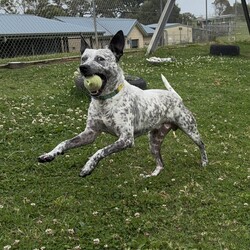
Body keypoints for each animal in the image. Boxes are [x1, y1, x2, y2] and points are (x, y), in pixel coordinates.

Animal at [38, 30, 208, 177]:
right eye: (83, 58)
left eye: (100, 58)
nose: (83, 68)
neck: (105, 101)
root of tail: (175, 96)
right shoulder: (90, 134)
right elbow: (64, 142)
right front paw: (49, 154)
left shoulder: (126, 139)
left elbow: (100, 151)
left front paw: (88, 166)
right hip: (154, 141)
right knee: (160, 164)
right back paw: (151, 175)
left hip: (190, 129)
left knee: (201, 145)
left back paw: (205, 162)